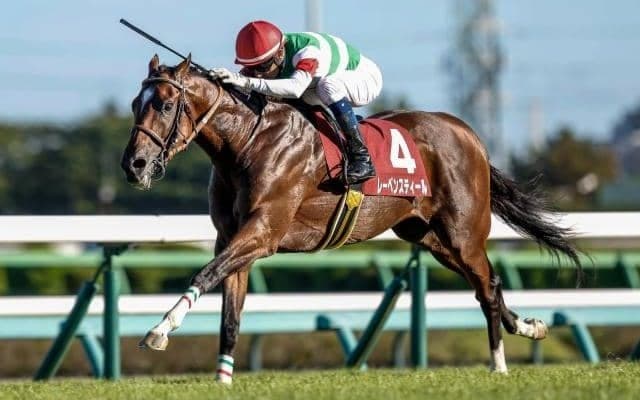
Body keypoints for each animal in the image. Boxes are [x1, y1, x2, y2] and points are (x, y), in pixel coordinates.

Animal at [121, 54, 581, 380]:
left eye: (165, 104)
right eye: (133, 104)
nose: (134, 165)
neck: (249, 142)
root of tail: (470, 134)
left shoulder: (262, 233)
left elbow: (204, 274)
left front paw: (159, 330)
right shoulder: (232, 238)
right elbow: (229, 314)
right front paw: (222, 378)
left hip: (463, 233)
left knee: (486, 288)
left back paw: (499, 364)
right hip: (429, 237)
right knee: (491, 283)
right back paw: (530, 326)